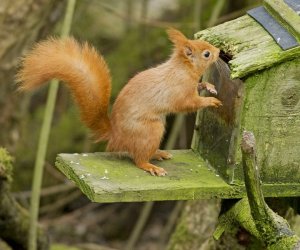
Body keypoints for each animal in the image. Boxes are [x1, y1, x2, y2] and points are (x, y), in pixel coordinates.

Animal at [17, 28, 221, 176]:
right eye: (206, 54)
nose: (219, 51)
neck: (183, 70)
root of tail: (115, 135)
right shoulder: (179, 92)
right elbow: (188, 104)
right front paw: (210, 101)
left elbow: (200, 87)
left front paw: (209, 86)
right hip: (150, 130)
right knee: (138, 158)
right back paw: (150, 166)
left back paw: (158, 153)